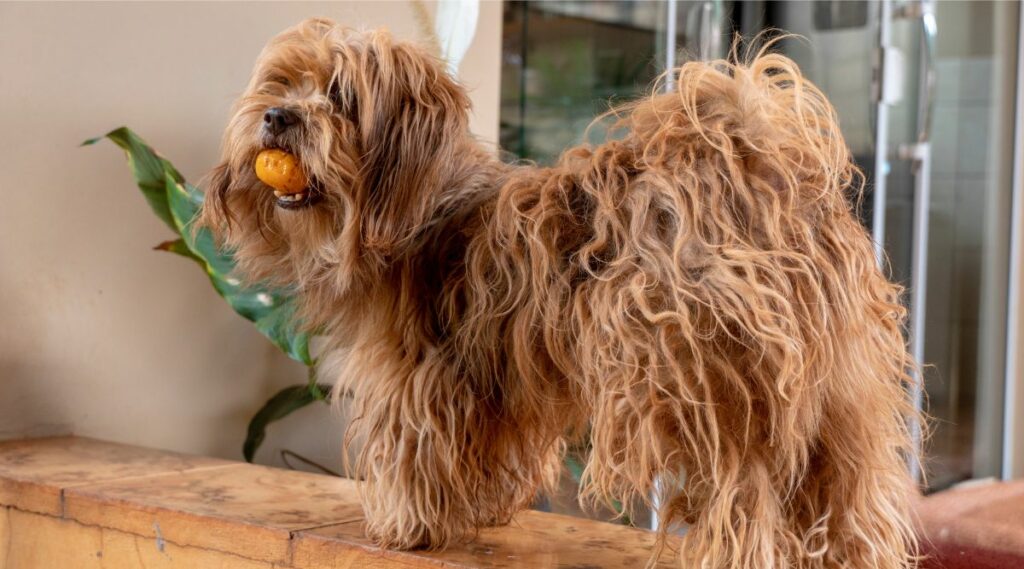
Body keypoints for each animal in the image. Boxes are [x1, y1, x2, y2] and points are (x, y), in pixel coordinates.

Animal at [199, 17, 921, 569]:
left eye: (341, 94)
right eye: (280, 84)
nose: (277, 117)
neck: (418, 205)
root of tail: (754, 167)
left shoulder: (420, 373)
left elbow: (414, 449)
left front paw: (405, 525)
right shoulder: (494, 379)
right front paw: (480, 511)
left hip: (699, 387)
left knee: (746, 493)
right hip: (842, 401)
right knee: (851, 498)